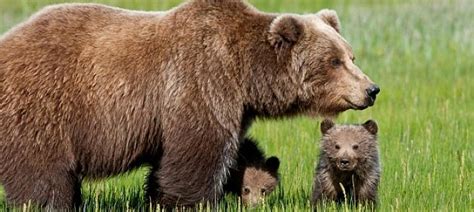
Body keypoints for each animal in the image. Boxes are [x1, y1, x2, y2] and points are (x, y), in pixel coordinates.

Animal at [0, 0, 378, 209]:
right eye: (333, 61)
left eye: (351, 55)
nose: (371, 89)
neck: (245, 73)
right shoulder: (200, 80)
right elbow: (197, 151)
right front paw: (187, 202)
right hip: (44, 105)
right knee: (43, 170)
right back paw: (50, 203)